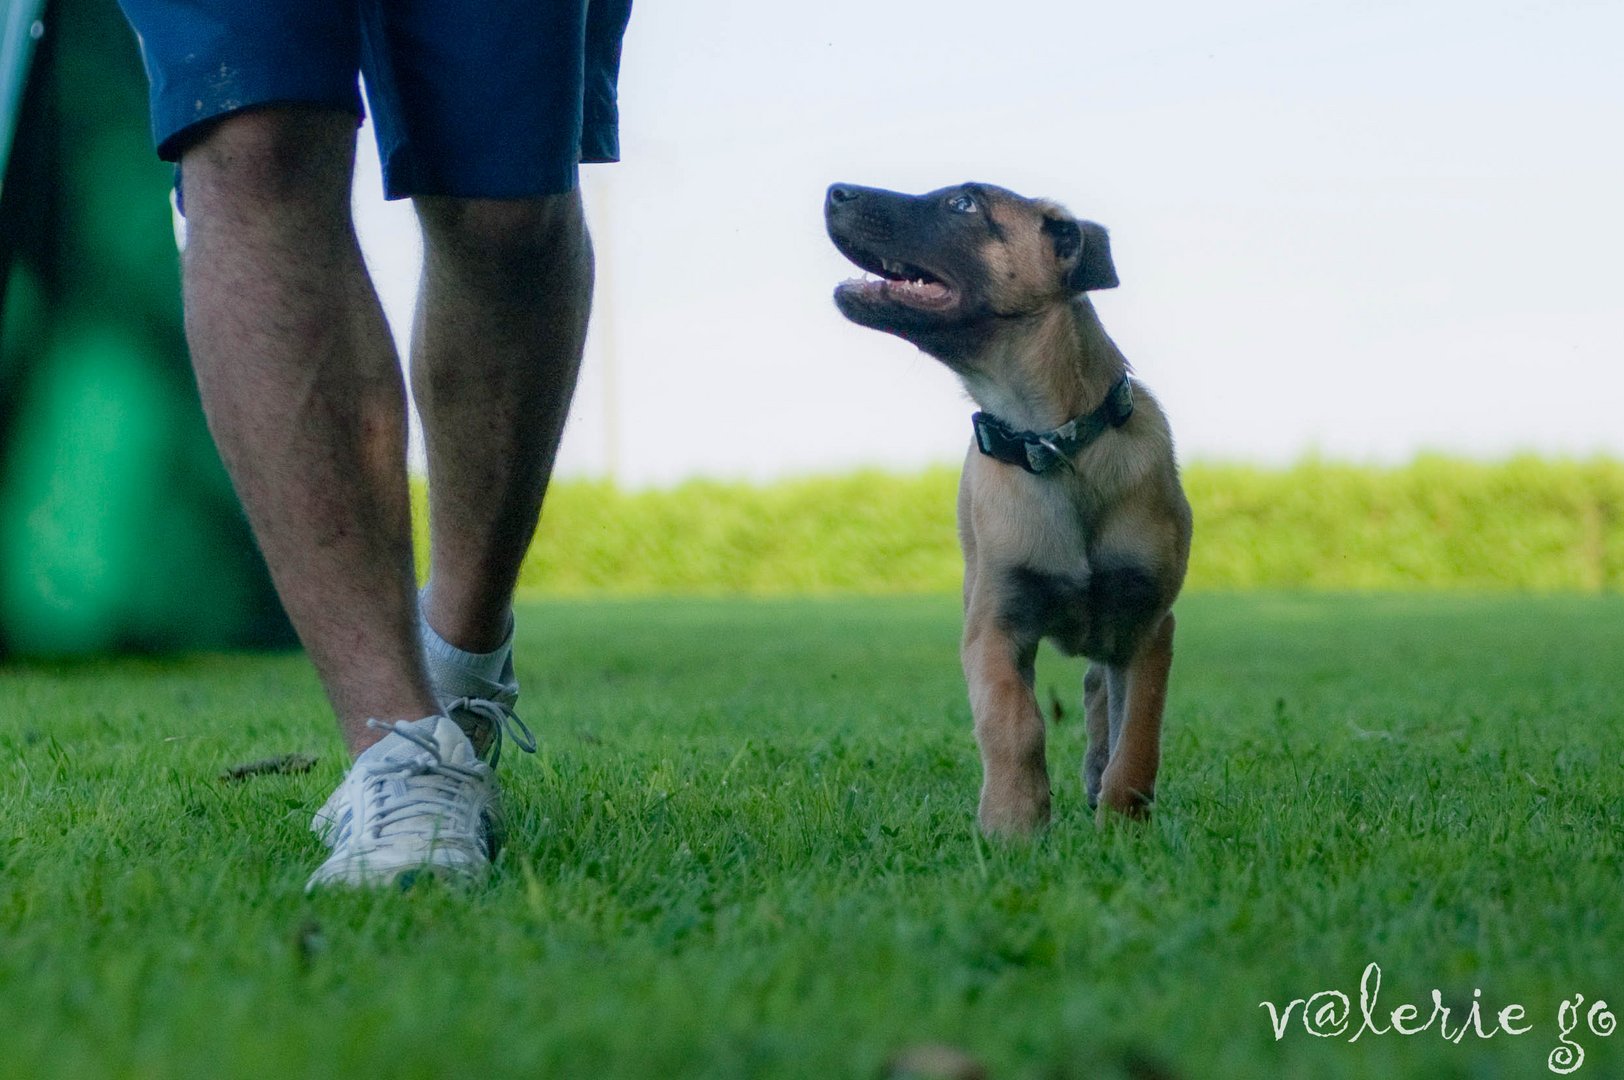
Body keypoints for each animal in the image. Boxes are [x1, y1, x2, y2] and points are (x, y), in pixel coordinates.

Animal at [824, 181, 1195, 828]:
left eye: (963, 205)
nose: (834, 191)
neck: (1053, 441)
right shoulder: (994, 626)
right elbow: (1013, 721)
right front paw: (1013, 823)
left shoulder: (1147, 623)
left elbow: (1139, 738)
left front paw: (1122, 823)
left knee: (1099, 690)